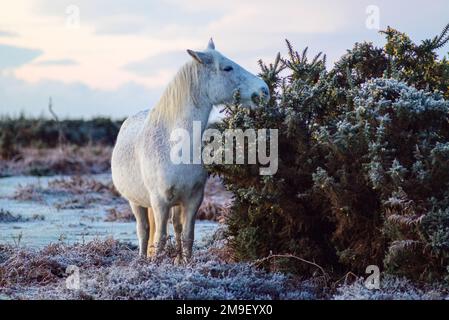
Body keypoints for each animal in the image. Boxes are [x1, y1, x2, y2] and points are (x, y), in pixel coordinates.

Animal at [110, 39, 268, 262]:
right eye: (227, 68)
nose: (264, 90)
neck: (175, 146)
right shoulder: (160, 202)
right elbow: (159, 239)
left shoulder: (193, 200)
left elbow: (187, 236)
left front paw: (185, 263)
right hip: (136, 202)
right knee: (143, 230)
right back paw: (141, 259)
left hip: (176, 203)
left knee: (175, 227)